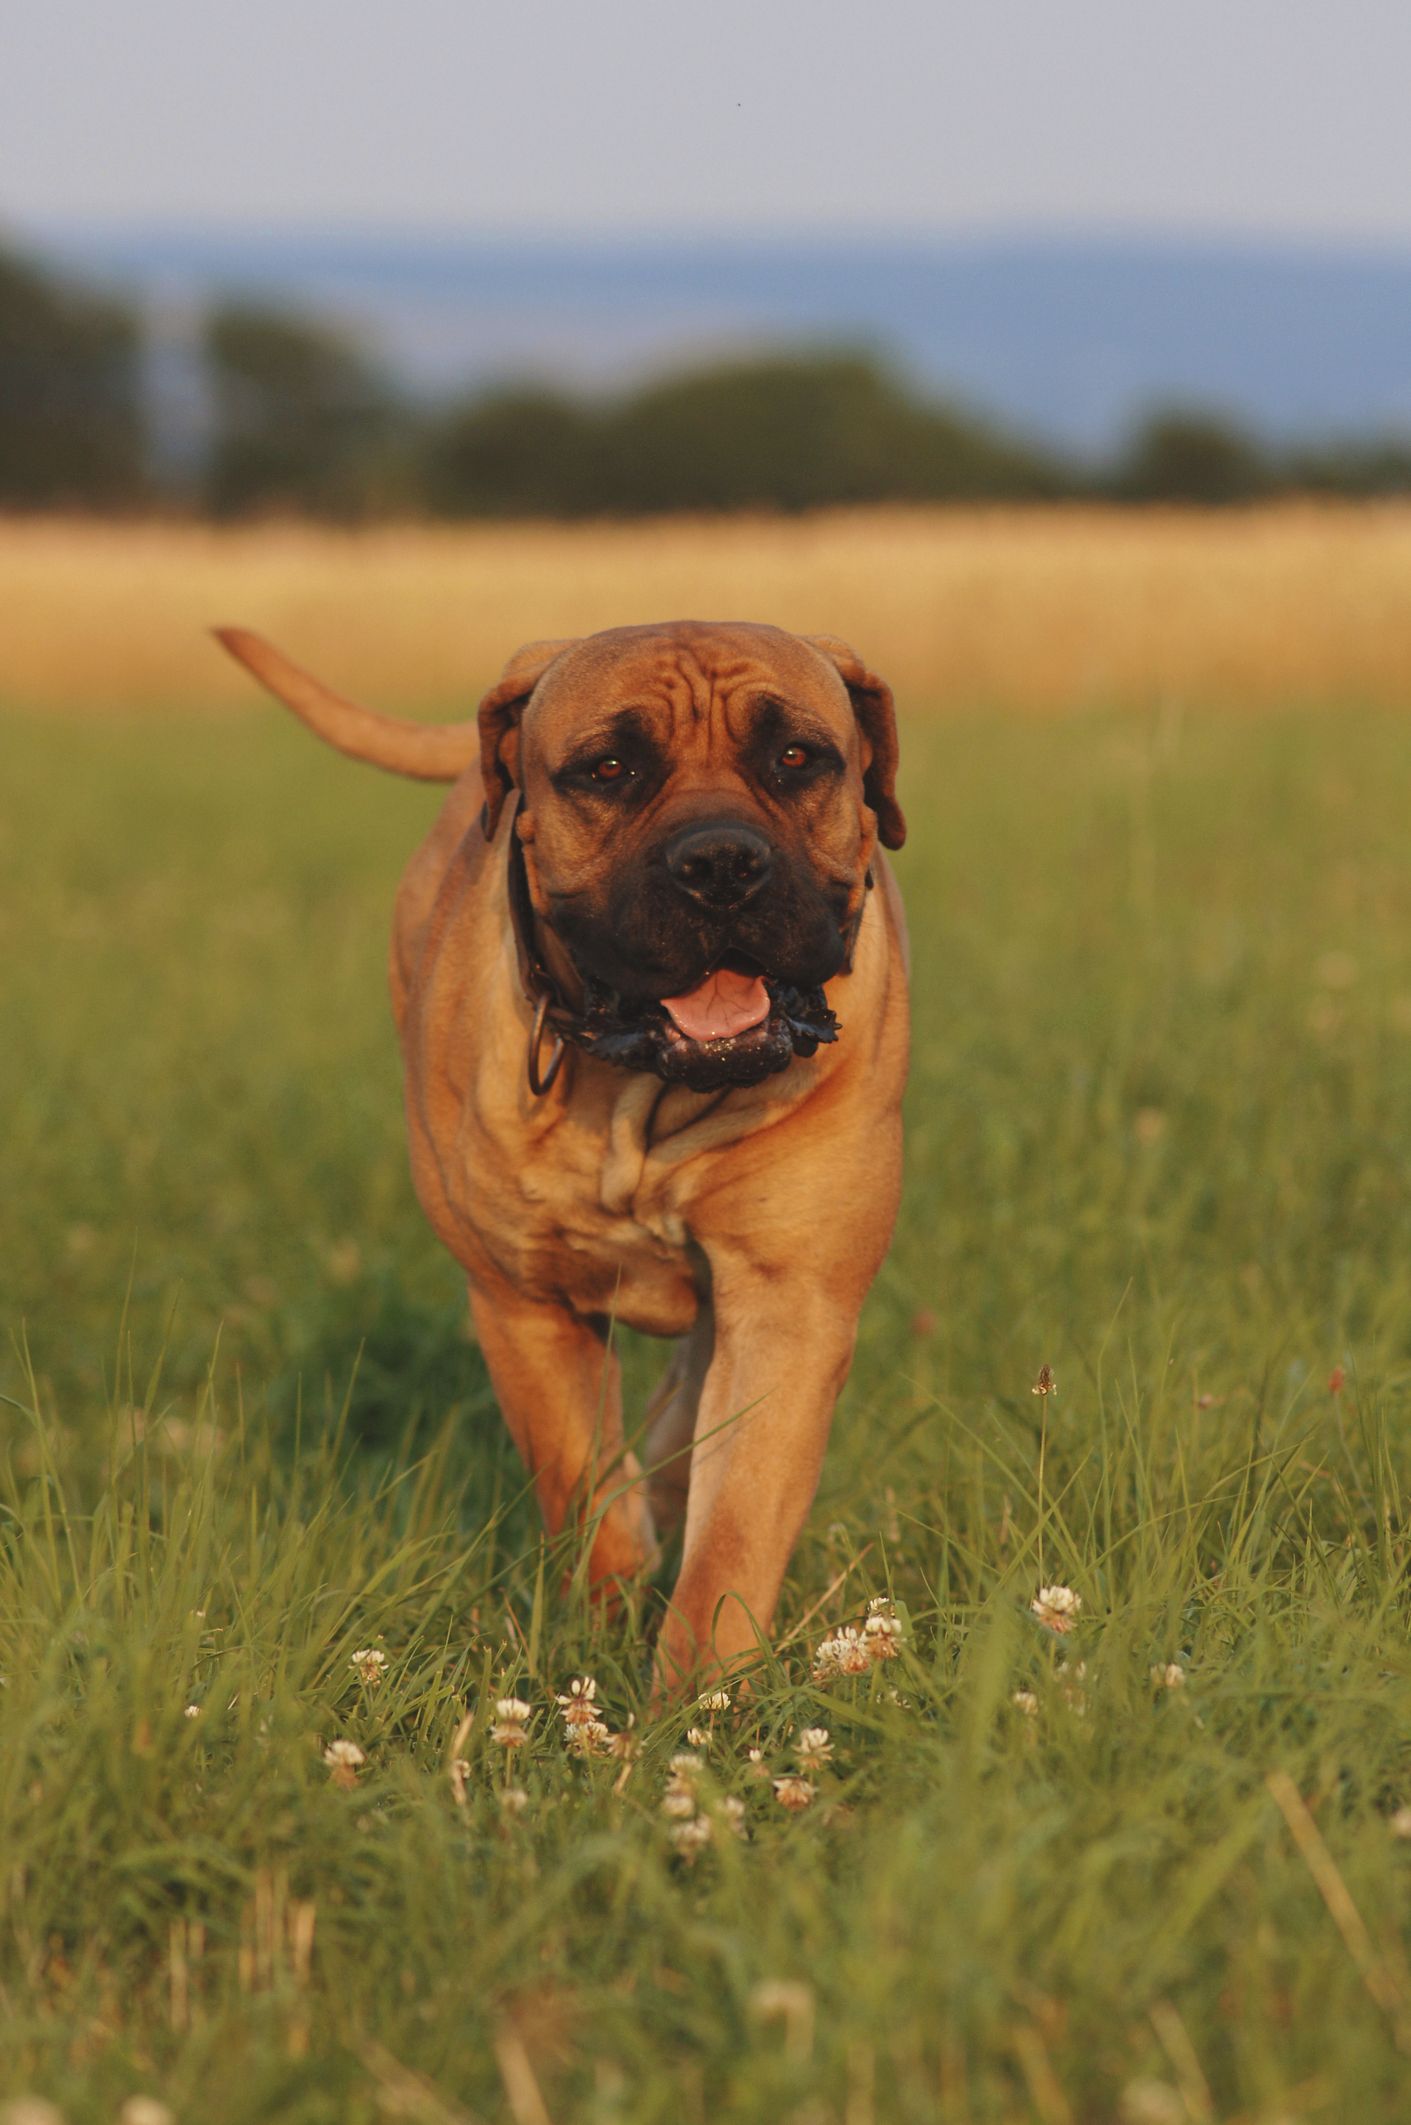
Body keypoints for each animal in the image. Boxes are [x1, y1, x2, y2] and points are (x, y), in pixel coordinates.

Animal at [214, 620, 909, 1691]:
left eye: (796, 757)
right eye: (607, 769)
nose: (720, 861)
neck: (646, 1096)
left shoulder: (792, 1300)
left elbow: (734, 1533)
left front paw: (695, 1700)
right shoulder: (523, 1304)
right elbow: (584, 1490)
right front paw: (608, 1628)